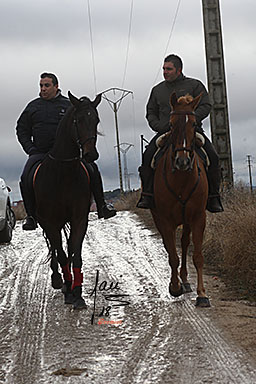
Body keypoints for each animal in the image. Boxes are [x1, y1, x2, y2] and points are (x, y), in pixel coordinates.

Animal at [33, 92, 101, 308]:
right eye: (78, 120)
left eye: (96, 120)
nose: (91, 154)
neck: (63, 173)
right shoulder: (50, 222)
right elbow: (61, 253)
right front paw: (69, 291)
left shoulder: (79, 219)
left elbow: (75, 253)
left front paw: (77, 292)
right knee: (55, 248)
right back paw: (58, 279)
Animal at [152, 92, 210, 306]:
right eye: (170, 124)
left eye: (193, 123)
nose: (182, 161)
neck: (182, 179)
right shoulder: (165, 220)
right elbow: (172, 256)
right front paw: (174, 287)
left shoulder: (198, 217)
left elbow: (198, 256)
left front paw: (202, 294)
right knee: (170, 248)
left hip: (186, 220)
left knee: (184, 243)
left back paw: (185, 280)